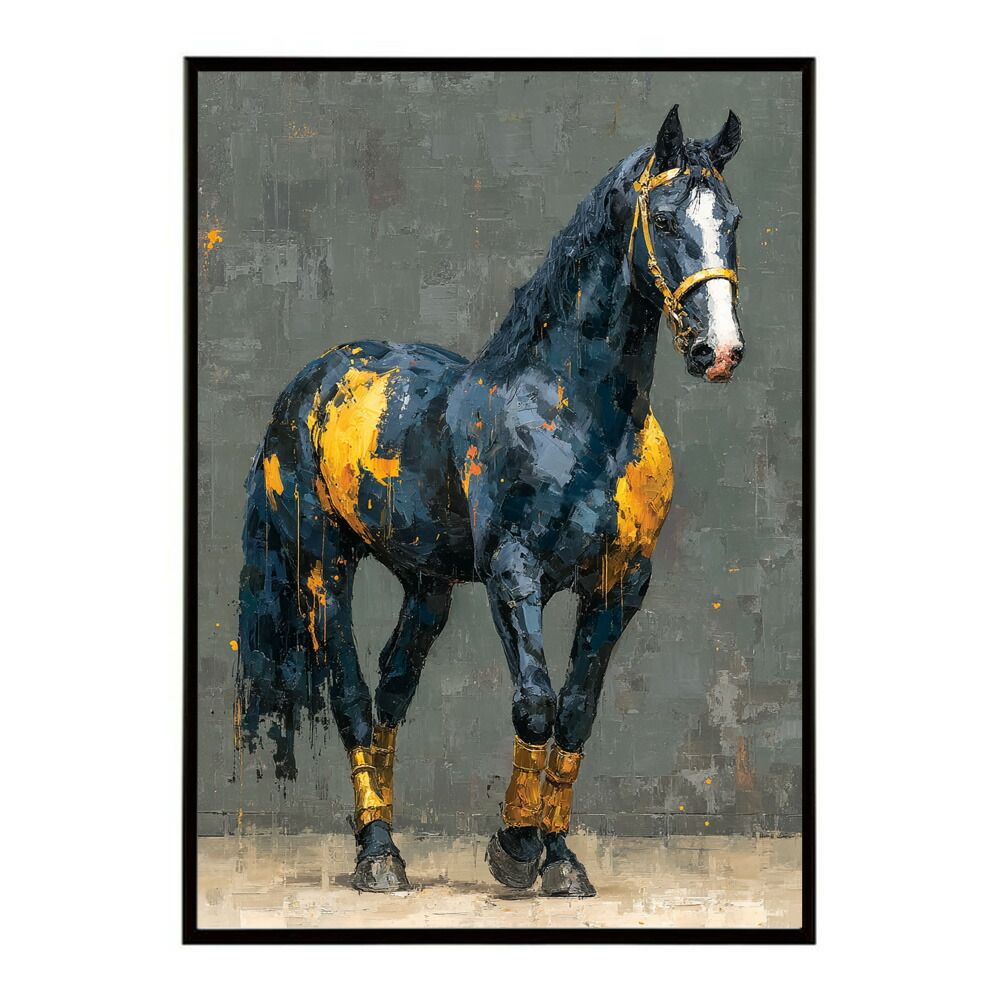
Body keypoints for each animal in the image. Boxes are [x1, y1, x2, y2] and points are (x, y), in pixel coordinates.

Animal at [236, 104, 745, 896]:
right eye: (663, 218)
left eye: (734, 218)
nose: (717, 351)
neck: (576, 413)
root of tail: (310, 382)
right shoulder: (514, 574)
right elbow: (535, 705)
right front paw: (514, 848)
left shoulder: (620, 587)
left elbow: (576, 714)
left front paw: (561, 861)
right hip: (324, 567)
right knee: (351, 695)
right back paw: (377, 856)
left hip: (427, 585)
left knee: (392, 690)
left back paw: (384, 840)